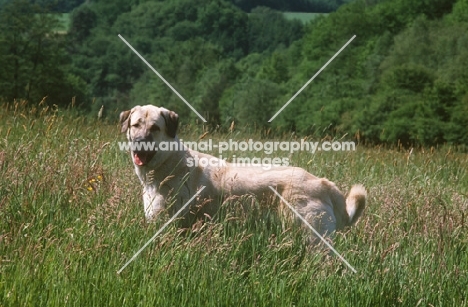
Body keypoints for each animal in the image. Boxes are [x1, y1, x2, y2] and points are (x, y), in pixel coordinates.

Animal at [119, 106, 366, 243]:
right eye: (135, 125)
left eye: (155, 128)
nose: (138, 143)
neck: (168, 164)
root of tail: (324, 183)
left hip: (313, 238)